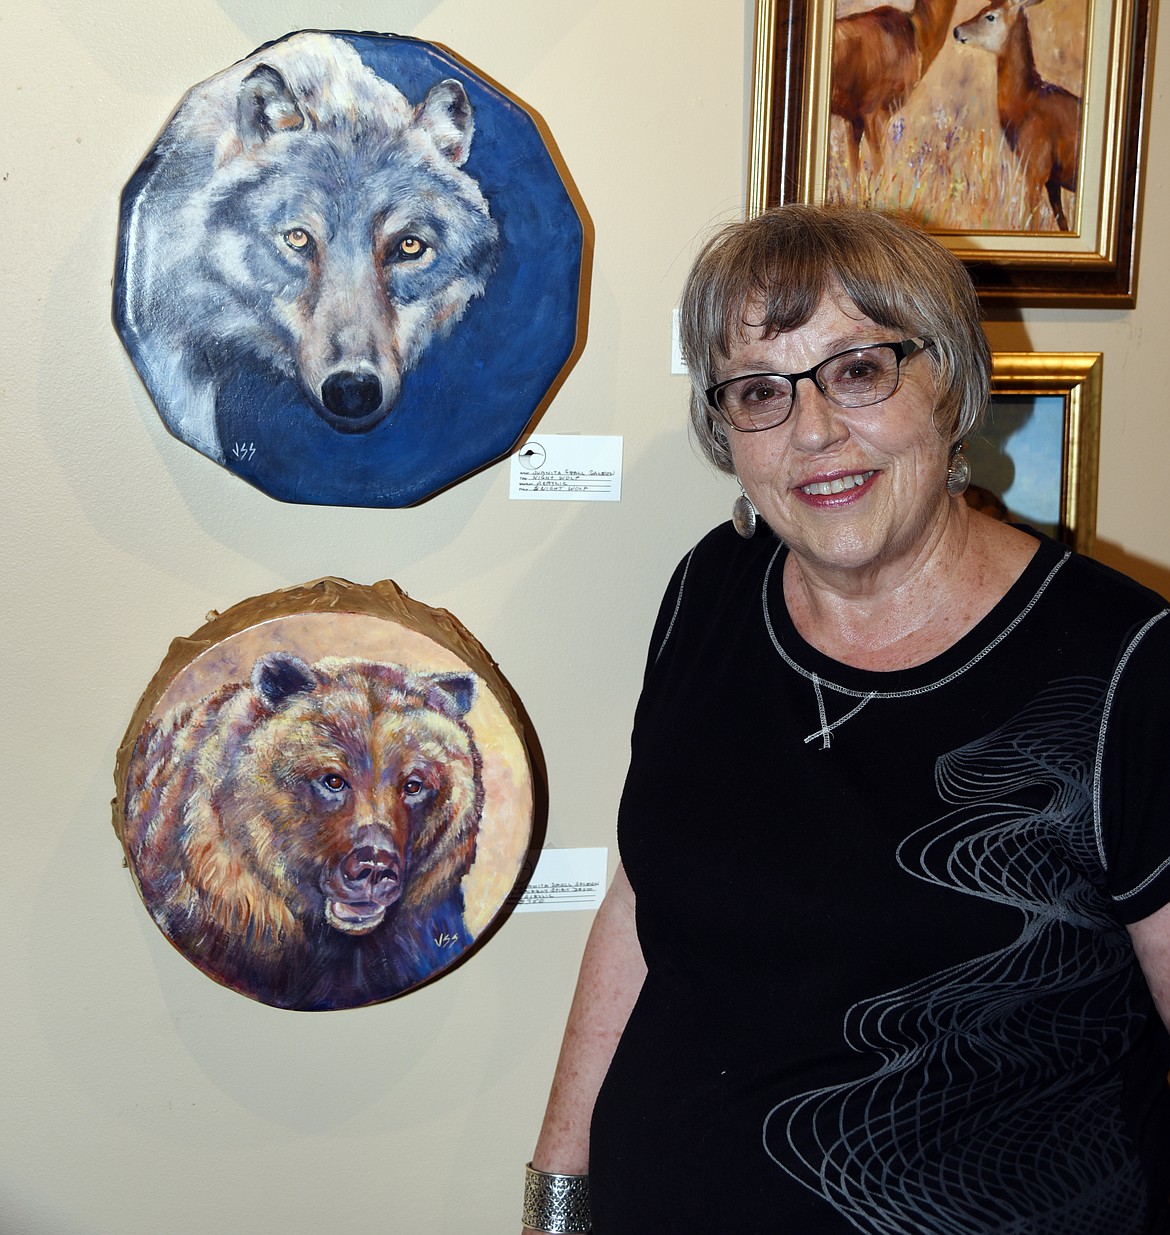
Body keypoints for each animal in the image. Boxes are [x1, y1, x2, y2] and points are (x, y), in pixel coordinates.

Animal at [953, 0, 1082, 229]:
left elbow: (1031, 222)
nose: (957, 30)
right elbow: (1062, 222)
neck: (1027, 100)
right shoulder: (1051, 180)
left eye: (990, 16)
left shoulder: (1036, 168)